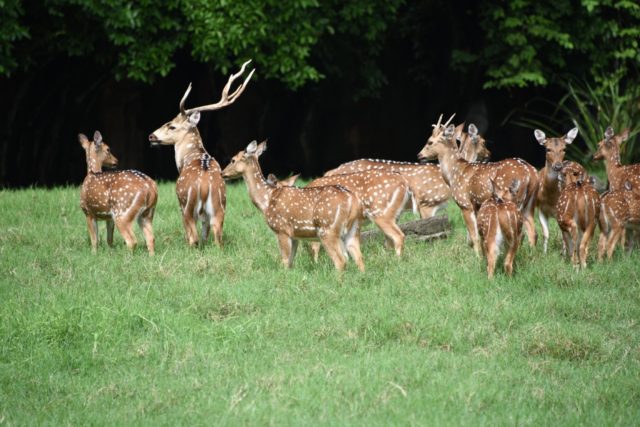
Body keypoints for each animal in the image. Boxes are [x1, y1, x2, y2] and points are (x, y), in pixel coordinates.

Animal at [148, 60, 254, 247]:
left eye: (171, 126)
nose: (151, 136)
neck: (189, 157)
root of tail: (204, 186)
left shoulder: (180, 202)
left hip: (187, 205)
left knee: (193, 238)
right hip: (220, 205)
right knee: (217, 236)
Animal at [221, 141, 365, 272]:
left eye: (233, 160)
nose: (223, 173)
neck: (266, 200)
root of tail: (353, 200)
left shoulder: (282, 229)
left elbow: (284, 262)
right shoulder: (294, 235)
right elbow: (290, 262)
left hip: (327, 229)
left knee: (341, 261)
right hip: (353, 229)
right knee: (359, 259)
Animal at [417, 115, 539, 256]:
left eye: (429, 142)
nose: (419, 155)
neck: (453, 173)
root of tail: (531, 172)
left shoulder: (465, 203)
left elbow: (474, 235)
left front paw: (477, 257)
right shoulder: (477, 205)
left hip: (513, 198)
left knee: (520, 234)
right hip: (530, 201)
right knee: (533, 232)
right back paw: (534, 255)